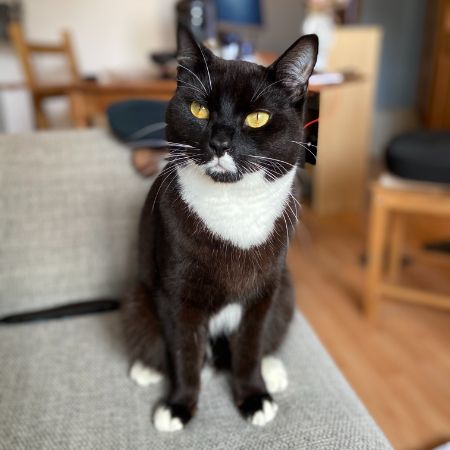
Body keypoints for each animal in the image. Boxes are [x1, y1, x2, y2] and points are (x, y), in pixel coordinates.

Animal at [122, 25, 318, 432]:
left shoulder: (265, 290)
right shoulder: (177, 290)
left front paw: (254, 396)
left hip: (287, 290)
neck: (233, 208)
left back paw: (272, 370)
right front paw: (179, 405)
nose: (220, 141)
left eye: (257, 118)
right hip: (137, 295)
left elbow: (250, 346)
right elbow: (183, 350)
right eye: (199, 109)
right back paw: (147, 368)